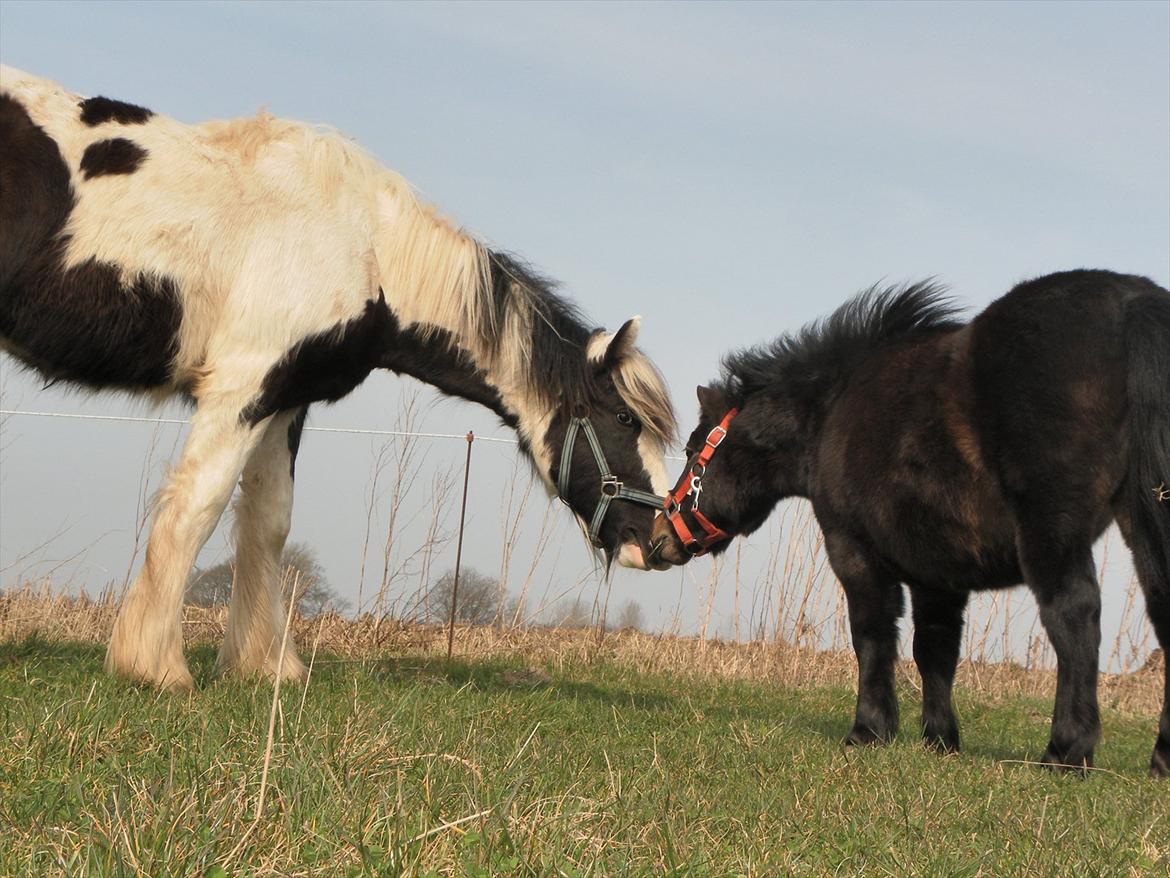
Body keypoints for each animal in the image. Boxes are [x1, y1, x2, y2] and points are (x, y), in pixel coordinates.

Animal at [2, 68, 678, 693]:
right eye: (624, 419)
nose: (666, 540)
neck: (365, 246)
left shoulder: (285, 400)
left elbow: (268, 524)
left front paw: (266, 667)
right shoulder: (242, 387)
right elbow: (198, 507)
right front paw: (155, 667)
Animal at [655, 270, 1165, 777]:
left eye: (693, 449)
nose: (662, 535)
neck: (830, 410)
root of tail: (1131, 303)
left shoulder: (854, 552)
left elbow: (873, 635)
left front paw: (868, 730)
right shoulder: (935, 574)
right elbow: (935, 650)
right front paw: (939, 739)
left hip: (1052, 530)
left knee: (1074, 616)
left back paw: (1065, 750)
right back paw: (1160, 759)